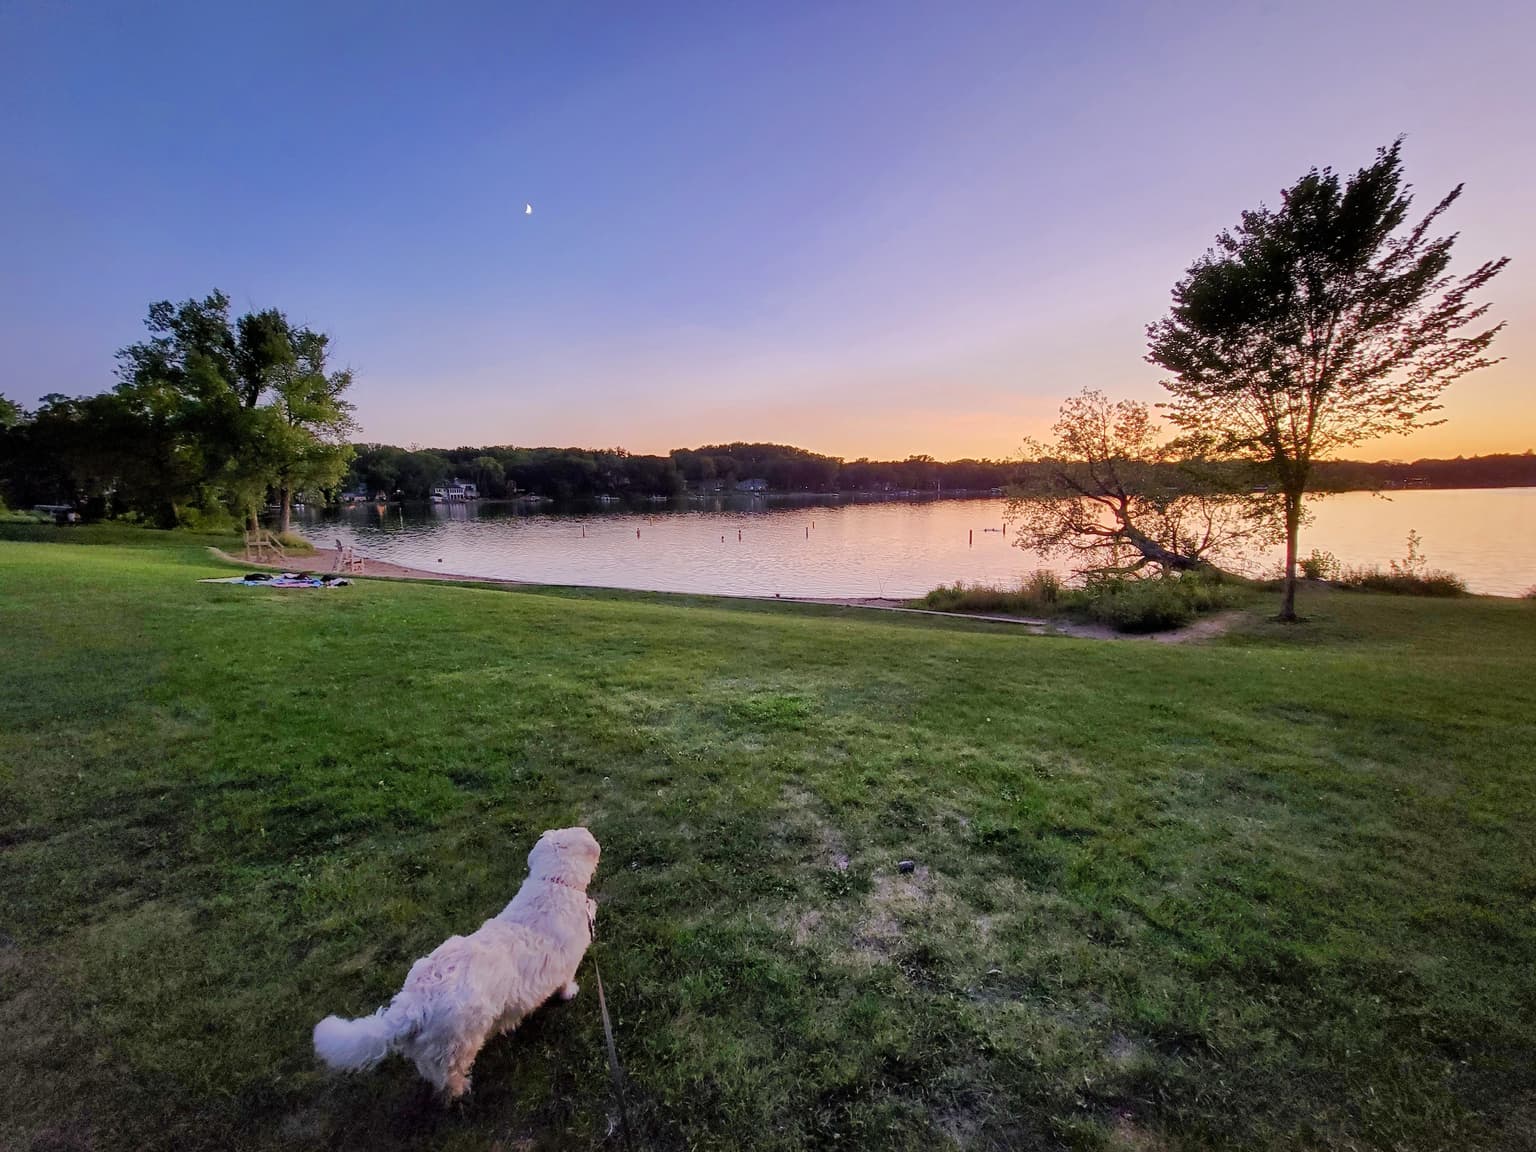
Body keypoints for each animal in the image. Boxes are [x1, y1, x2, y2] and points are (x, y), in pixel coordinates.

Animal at [311, 829, 599, 1099]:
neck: (554, 884)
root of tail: (411, 1005)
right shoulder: (565, 964)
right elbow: (564, 983)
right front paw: (569, 993)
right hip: (457, 1044)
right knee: (448, 1076)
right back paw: (462, 1088)